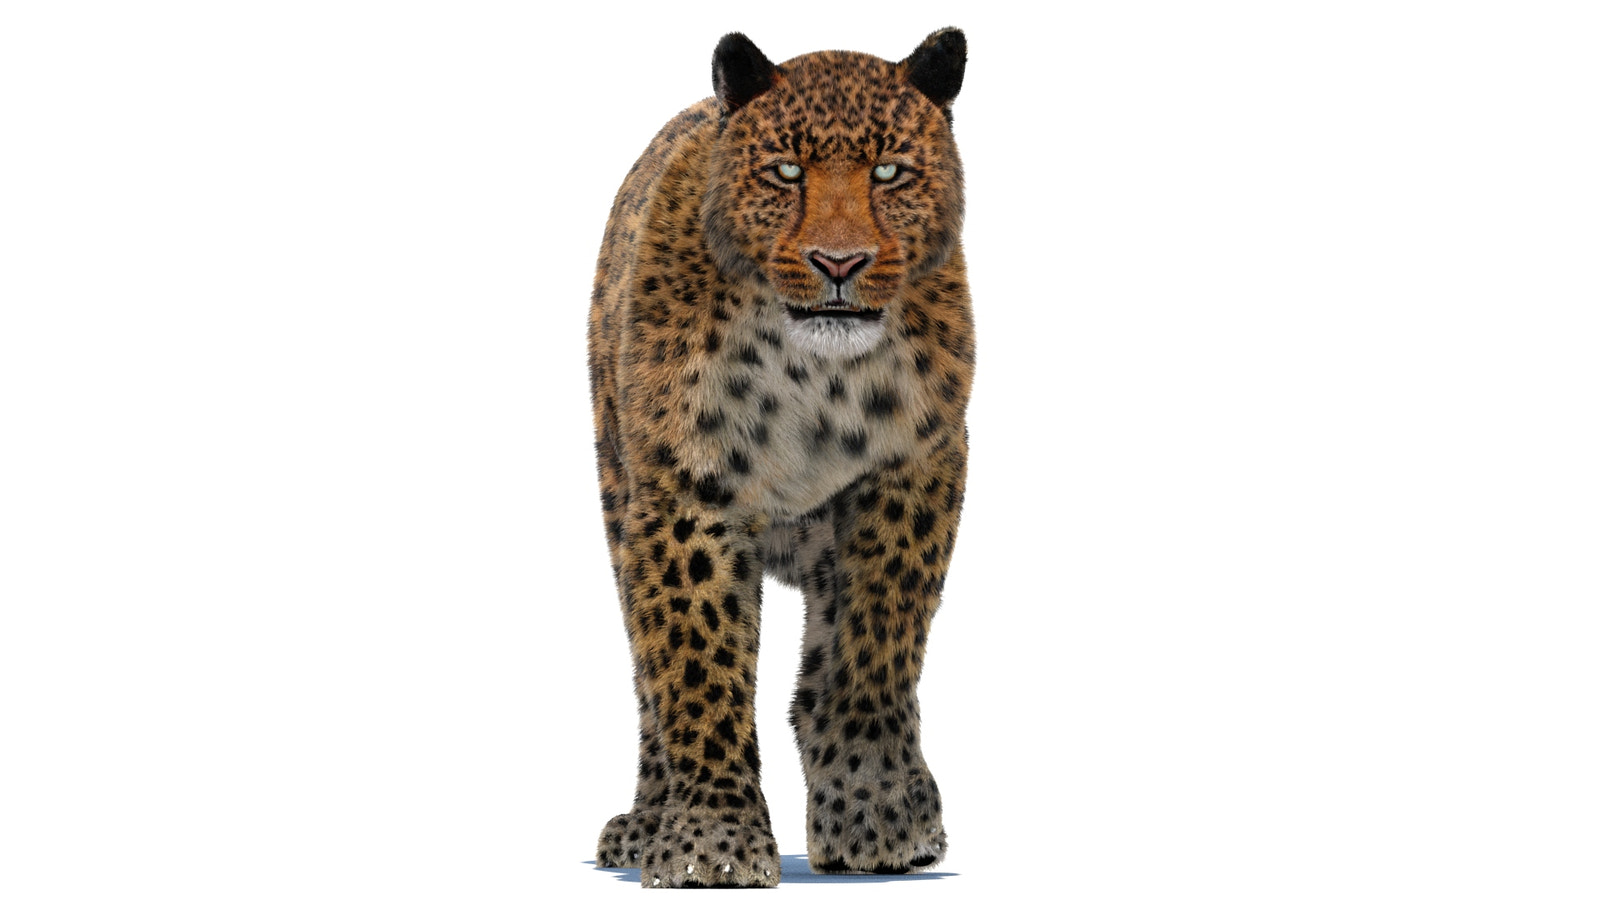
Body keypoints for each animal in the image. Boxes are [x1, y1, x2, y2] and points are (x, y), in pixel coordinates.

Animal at [586, 28, 973, 888]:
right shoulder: (686, 499)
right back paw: (644, 824)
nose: (840, 263)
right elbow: (695, 666)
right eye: (786, 172)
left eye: (889, 171)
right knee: (645, 680)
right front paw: (711, 842)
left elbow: (875, 646)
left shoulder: (913, 472)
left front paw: (876, 815)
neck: (816, 376)